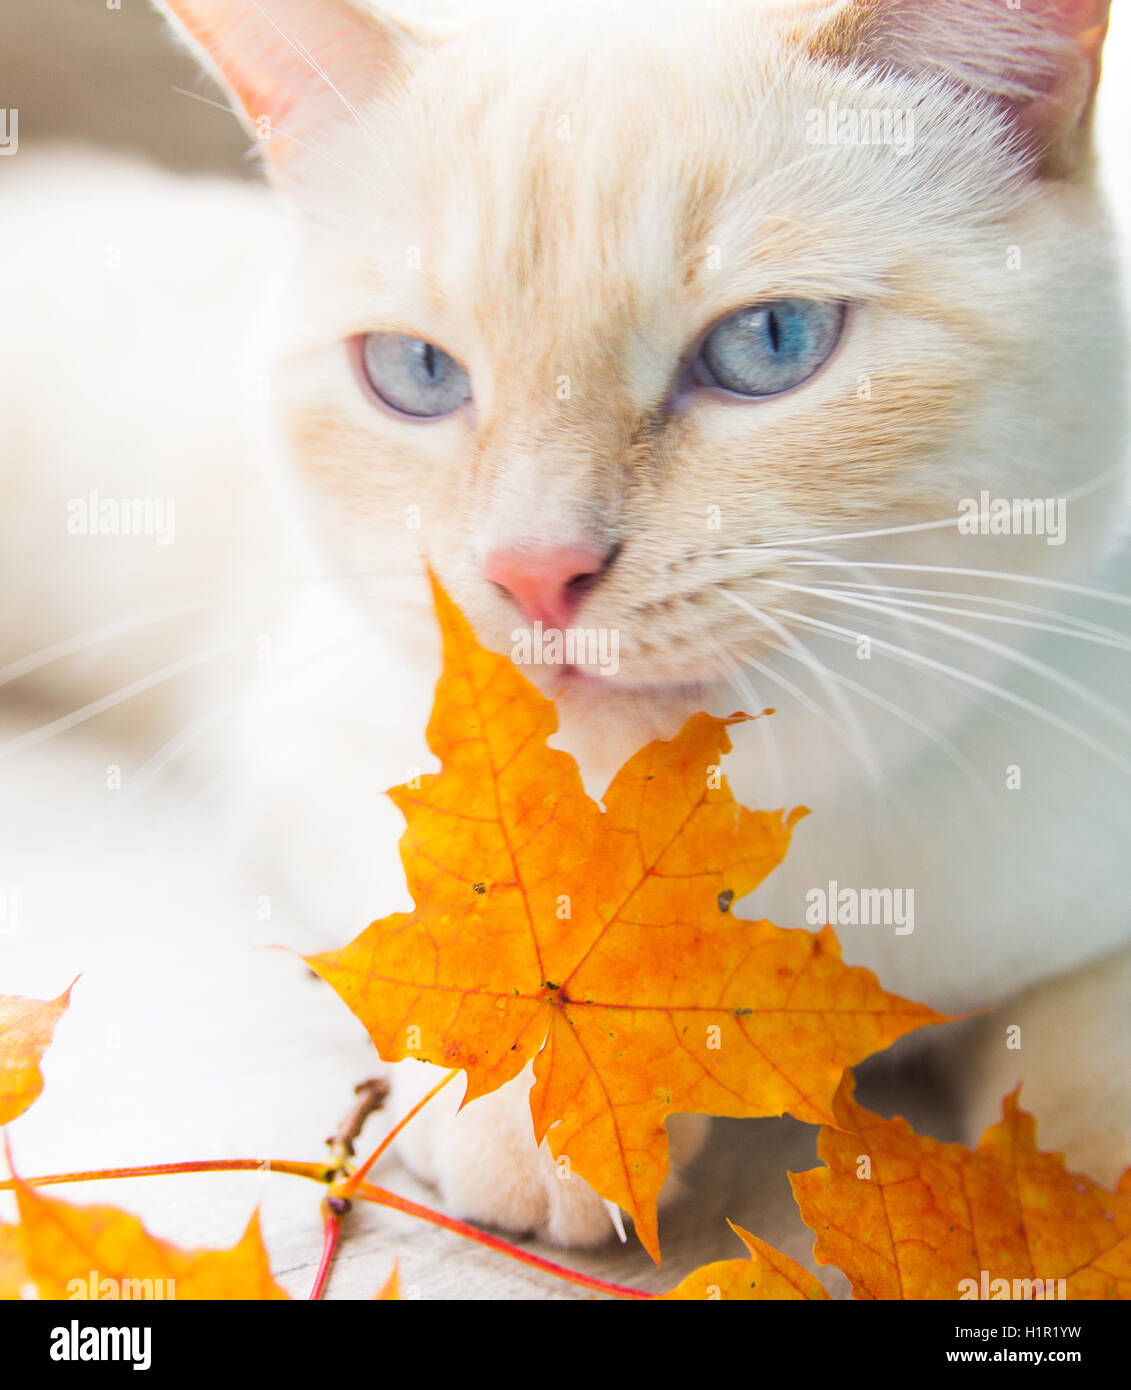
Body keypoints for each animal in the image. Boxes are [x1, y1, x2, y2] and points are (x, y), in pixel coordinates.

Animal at [0, 0, 1128, 1256]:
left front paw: (1072, 1216)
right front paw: (545, 1101)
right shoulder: (312, 738)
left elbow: (1090, 1067)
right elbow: (448, 914)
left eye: (772, 341)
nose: (536, 572)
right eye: (416, 372)